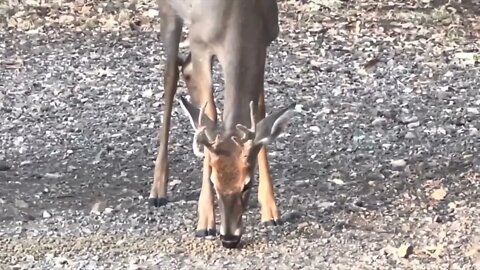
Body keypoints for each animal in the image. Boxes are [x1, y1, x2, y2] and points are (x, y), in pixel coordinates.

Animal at [149, 0, 296, 249]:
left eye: (247, 184)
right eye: (213, 181)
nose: (228, 238)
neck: (238, 18)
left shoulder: (265, 41)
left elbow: (259, 113)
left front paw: (271, 210)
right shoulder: (200, 42)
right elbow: (210, 114)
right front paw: (205, 221)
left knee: (185, 68)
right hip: (168, 13)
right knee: (170, 75)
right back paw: (157, 190)